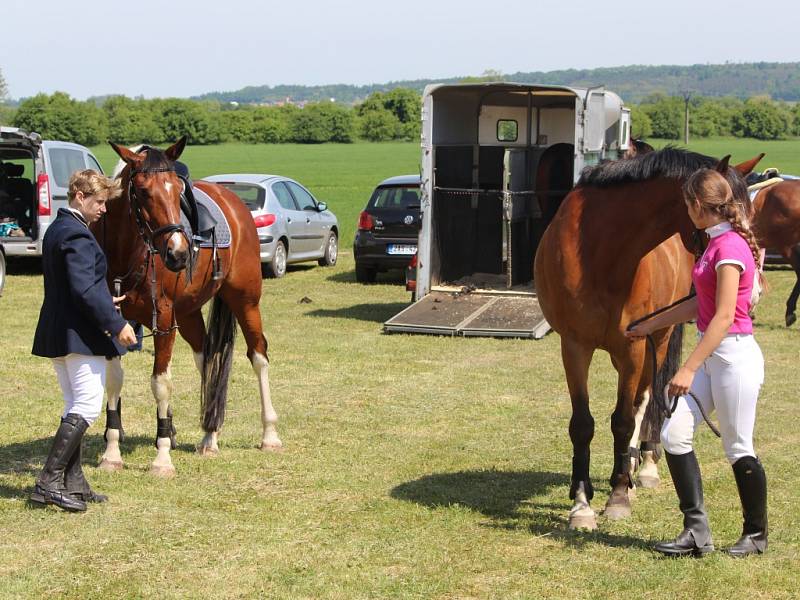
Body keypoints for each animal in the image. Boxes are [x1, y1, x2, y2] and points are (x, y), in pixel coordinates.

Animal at [94, 138, 282, 476]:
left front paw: (162, 457)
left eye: (176, 190)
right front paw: (112, 454)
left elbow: (161, 383)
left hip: (246, 301)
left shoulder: (165, 321)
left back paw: (269, 434)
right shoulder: (111, 322)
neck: (127, 253)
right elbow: (114, 381)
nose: (179, 253)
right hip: (191, 312)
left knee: (258, 355)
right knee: (207, 361)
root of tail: (235, 202)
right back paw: (210, 435)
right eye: (143, 192)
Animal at [536, 146, 760, 528]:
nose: (755, 288)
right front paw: (581, 504)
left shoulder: (634, 346)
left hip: (660, 338)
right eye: (727, 216)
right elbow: (582, 424)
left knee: (648, 399)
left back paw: (642, 467)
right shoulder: (574, 345)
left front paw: (618, 496)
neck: (598, 254)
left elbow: (624, 420)